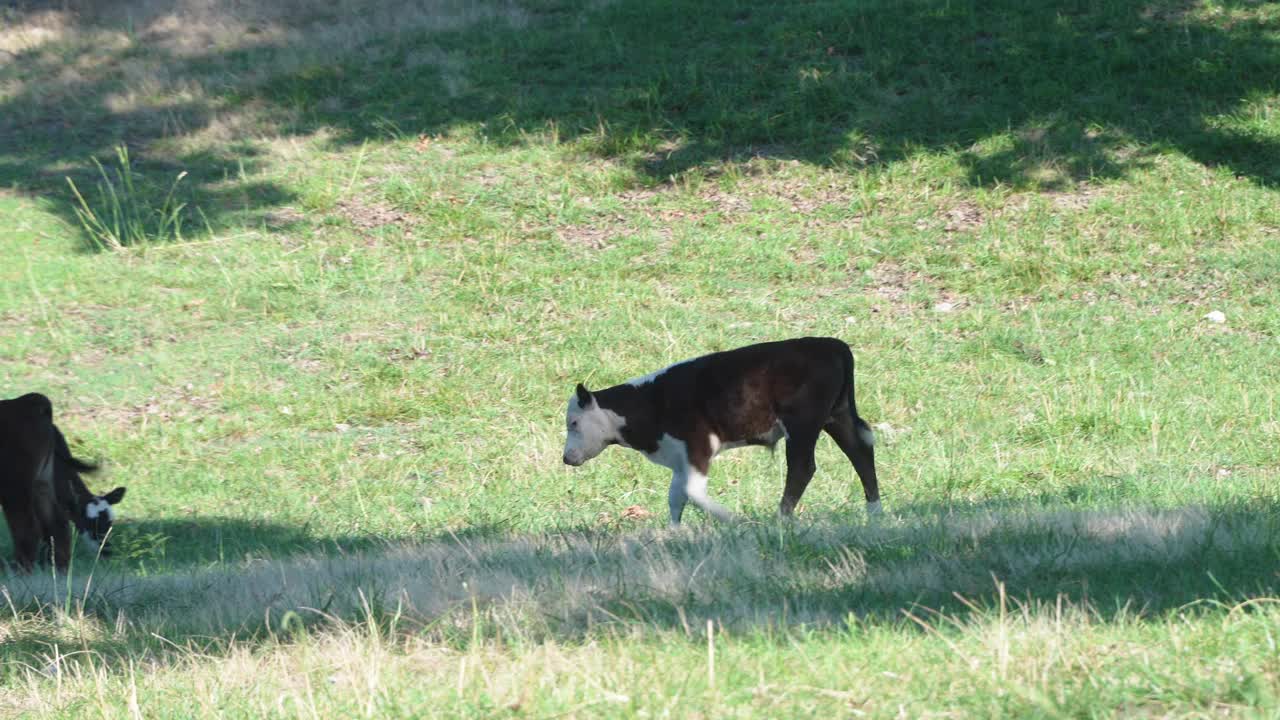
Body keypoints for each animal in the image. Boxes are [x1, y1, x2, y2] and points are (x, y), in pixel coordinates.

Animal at [0, 389, 126, 568]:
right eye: (93, 523)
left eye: (109, 522)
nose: (107, 552)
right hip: (34, 485)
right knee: (55, 526)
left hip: (17, 484)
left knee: (30, 529)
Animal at [563, 333, 880, 525]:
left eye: (574, 423)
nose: (566, 458)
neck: (650, 401)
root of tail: (830, 344)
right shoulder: (680, 457)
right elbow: (676, 496)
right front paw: (673, 533)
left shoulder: (698, 445)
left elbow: (692, 493)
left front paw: (732, 519)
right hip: (837, 416)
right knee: (860, 453)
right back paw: (874, 514)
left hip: (803, 423)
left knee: (803, 467)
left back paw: (780, 519)